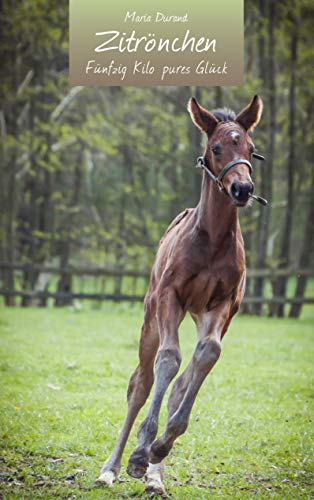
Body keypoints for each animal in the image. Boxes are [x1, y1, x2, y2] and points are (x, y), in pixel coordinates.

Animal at [97, 94, 262, 496]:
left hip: (201, 314)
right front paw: (138, 454)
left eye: (251, 148)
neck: (212, 241)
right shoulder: (170, 297)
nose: (243, 190)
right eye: (216, 148)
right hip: (150, 318)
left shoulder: (223, 306)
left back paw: (155, 475)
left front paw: (157, 448)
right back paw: (111, 467)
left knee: (182, 380)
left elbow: (206, 356)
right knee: (140, 383)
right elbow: (168, 360)